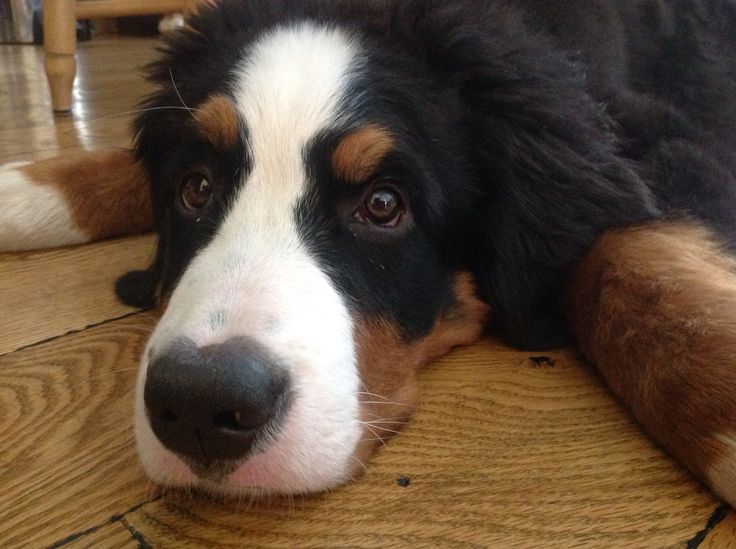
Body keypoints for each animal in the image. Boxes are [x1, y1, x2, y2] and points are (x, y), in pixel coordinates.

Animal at [1, 0, 736, 504]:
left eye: (383, 205)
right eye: (196, 187)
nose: (201, 403)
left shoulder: (660, 135)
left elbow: (624, 264)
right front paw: (21, 188)